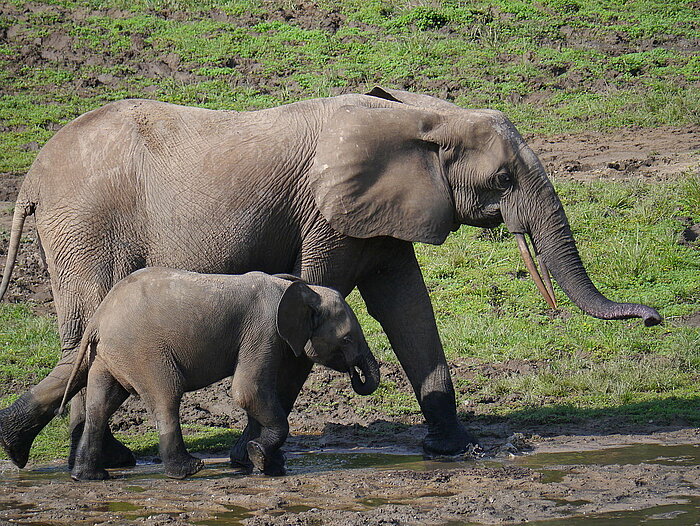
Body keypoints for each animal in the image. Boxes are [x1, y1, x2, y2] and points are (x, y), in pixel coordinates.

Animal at [57, 272, 380, 482]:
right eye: (348, 339)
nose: (356, 374)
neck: (300, 289)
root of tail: (98, 318)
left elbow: (255, 395)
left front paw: (268, 465)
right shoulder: (263, 330)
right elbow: (247, 391)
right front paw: (261, 458)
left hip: (108, 356)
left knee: (101, 405)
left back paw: (88, 477)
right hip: (144, 351)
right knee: (166, 397)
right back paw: (188, 471)